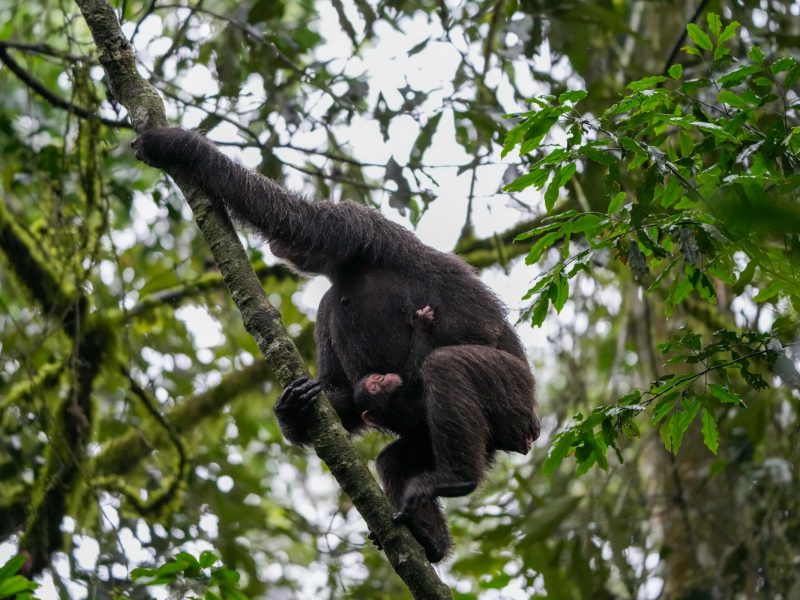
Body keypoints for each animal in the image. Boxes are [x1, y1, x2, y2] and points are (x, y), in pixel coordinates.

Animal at [132, 127, 540, 562]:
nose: (275, 248)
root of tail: (527, 434)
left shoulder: (354, 223)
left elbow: (293, 216)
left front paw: (175, 145)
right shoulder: (327, 305)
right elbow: (336, 389)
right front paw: (293, 409)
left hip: (512, 393)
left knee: (448, 367)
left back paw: (454, 479)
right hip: (451, 437)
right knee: (395, 458)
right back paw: (430, 539)